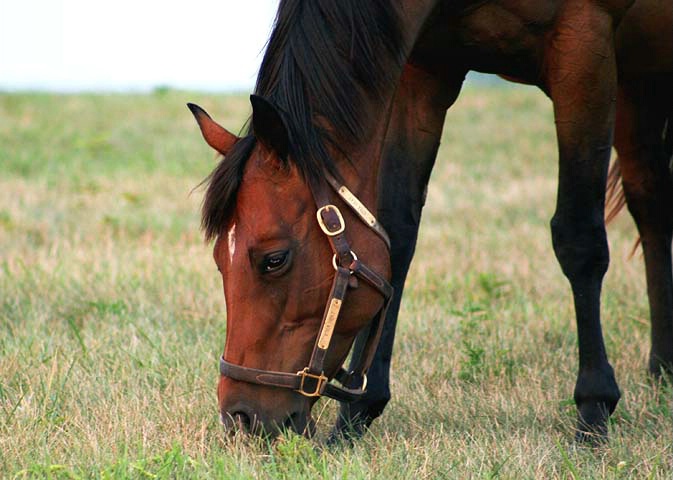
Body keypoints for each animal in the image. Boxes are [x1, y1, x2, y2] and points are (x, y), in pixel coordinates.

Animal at [189, 0, 672, 442]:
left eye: (273, 260)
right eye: (218, 261)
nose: (240, 418)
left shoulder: (584, 48)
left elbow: (578, 237)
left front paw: (593, 409)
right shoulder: (425, 71)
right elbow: (396, 240)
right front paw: (356, 415)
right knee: (651, 205)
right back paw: (662, 368)